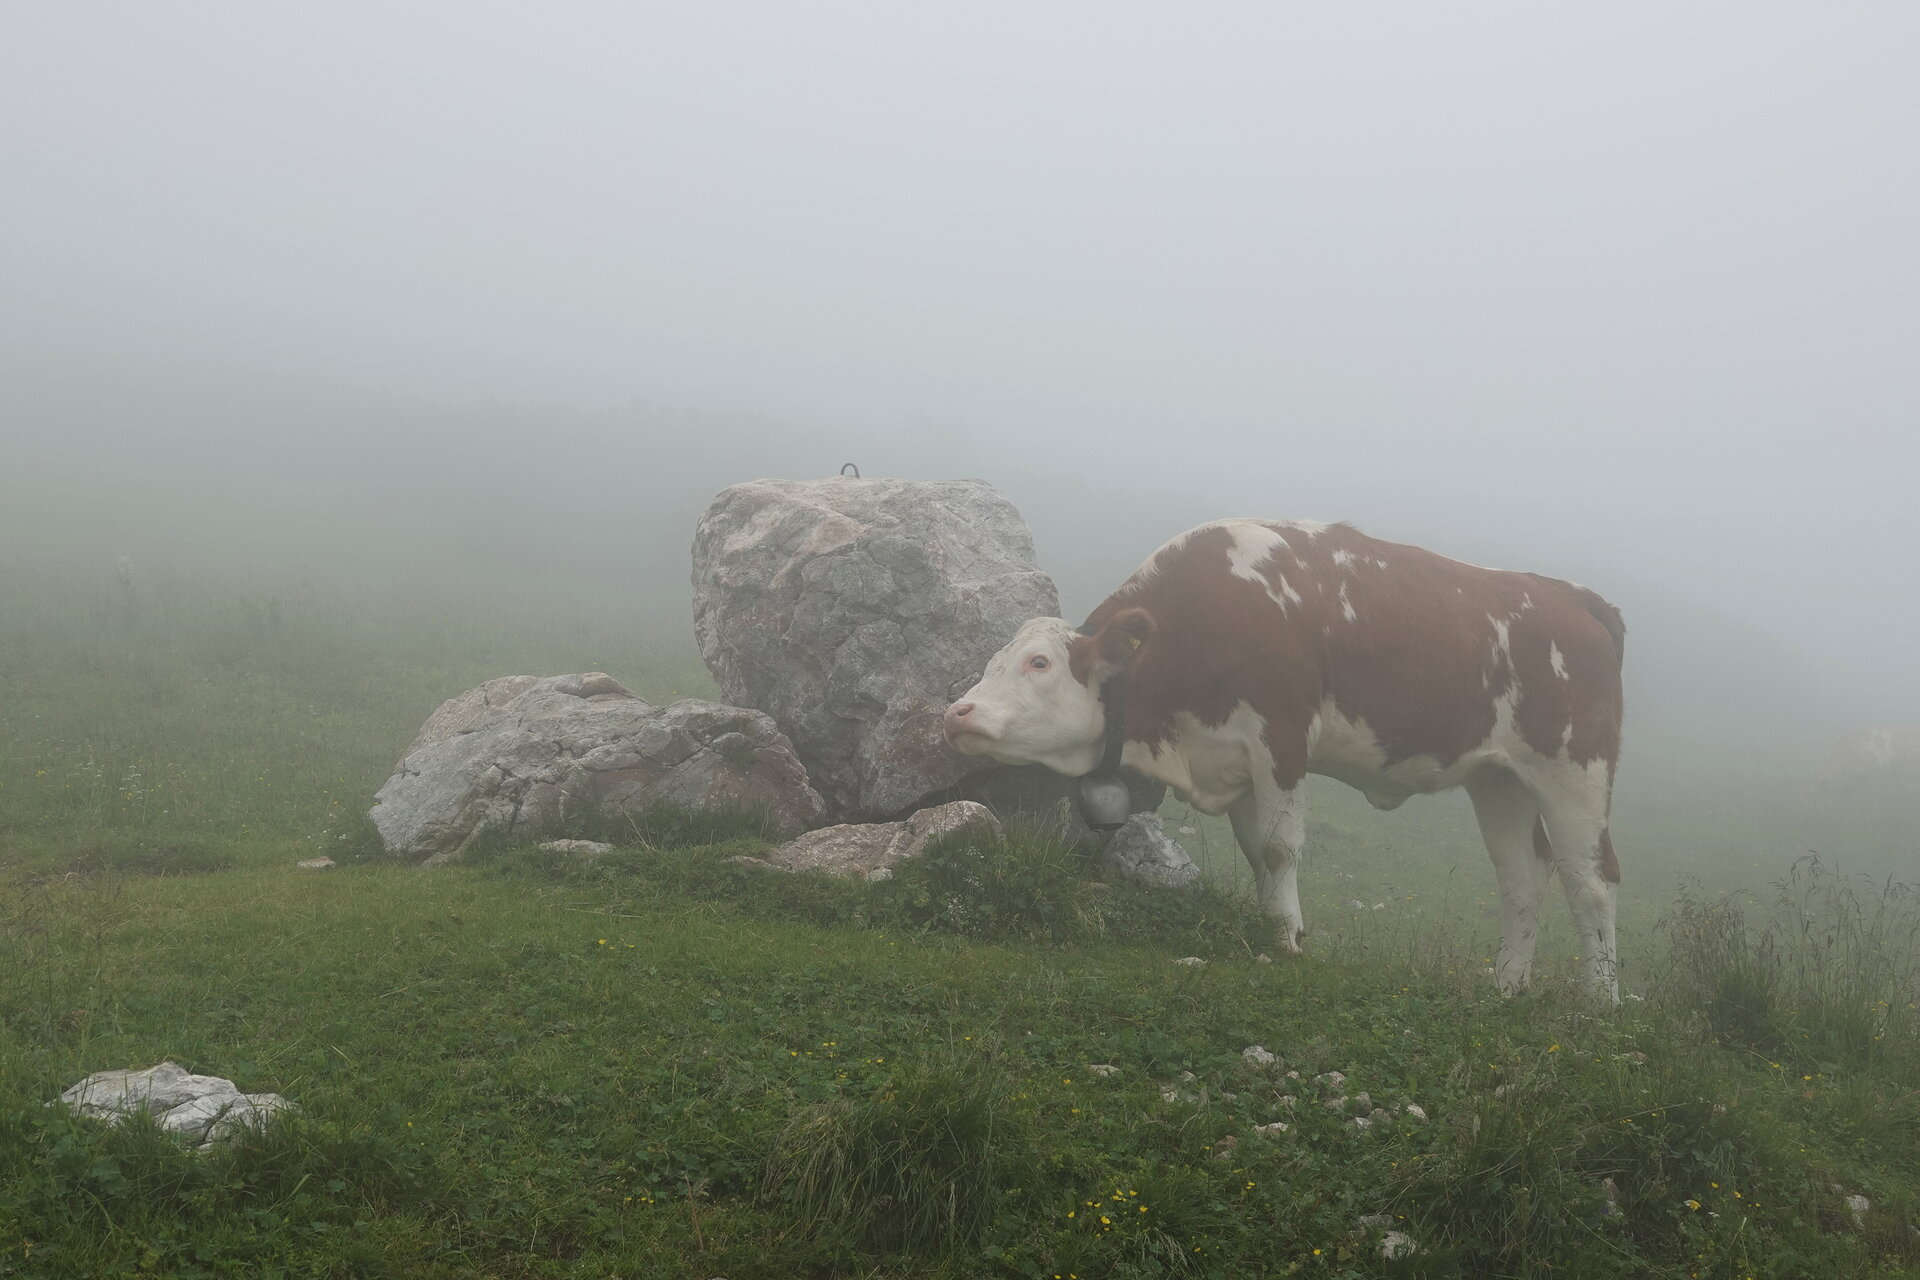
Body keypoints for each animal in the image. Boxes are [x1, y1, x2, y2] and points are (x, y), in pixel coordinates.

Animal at [944, 521, 1620, 997]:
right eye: (993, 661)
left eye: (1039, 663)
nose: (957, 713)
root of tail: (1576, 597)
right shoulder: (1237, 763)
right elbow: (1257, 853)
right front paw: (1272, 932)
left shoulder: (1282, 736)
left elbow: (1279, 847)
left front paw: (1291, 940)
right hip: (1499, 778)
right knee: (1523, 879)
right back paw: (1506, 989)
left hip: (1575, 771)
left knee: (1592, 882)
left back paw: (1599, 1006)